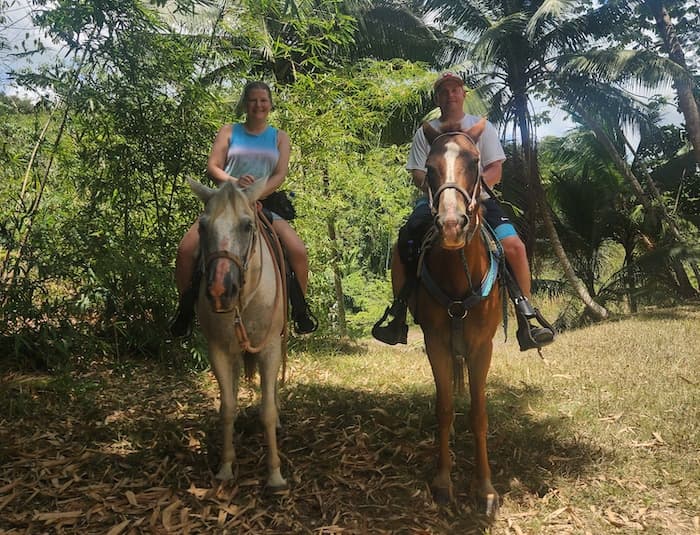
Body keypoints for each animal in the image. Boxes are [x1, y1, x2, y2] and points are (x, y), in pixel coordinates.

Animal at [189, 178, 288, 492]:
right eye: (202, 226)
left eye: (246, 226)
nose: (220, 291)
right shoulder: (218, 350)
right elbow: (227, 408)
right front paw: (225, 467)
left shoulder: (270, 348)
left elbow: (267, 411)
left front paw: (275, 475)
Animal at [394, 119, 504, 516]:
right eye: (429, 168)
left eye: (475, 162)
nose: (453, 224)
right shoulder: (435, 343)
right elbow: (443, 408)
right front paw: (443, 482)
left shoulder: (482, 347)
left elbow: (478, 413)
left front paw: (485, 488)